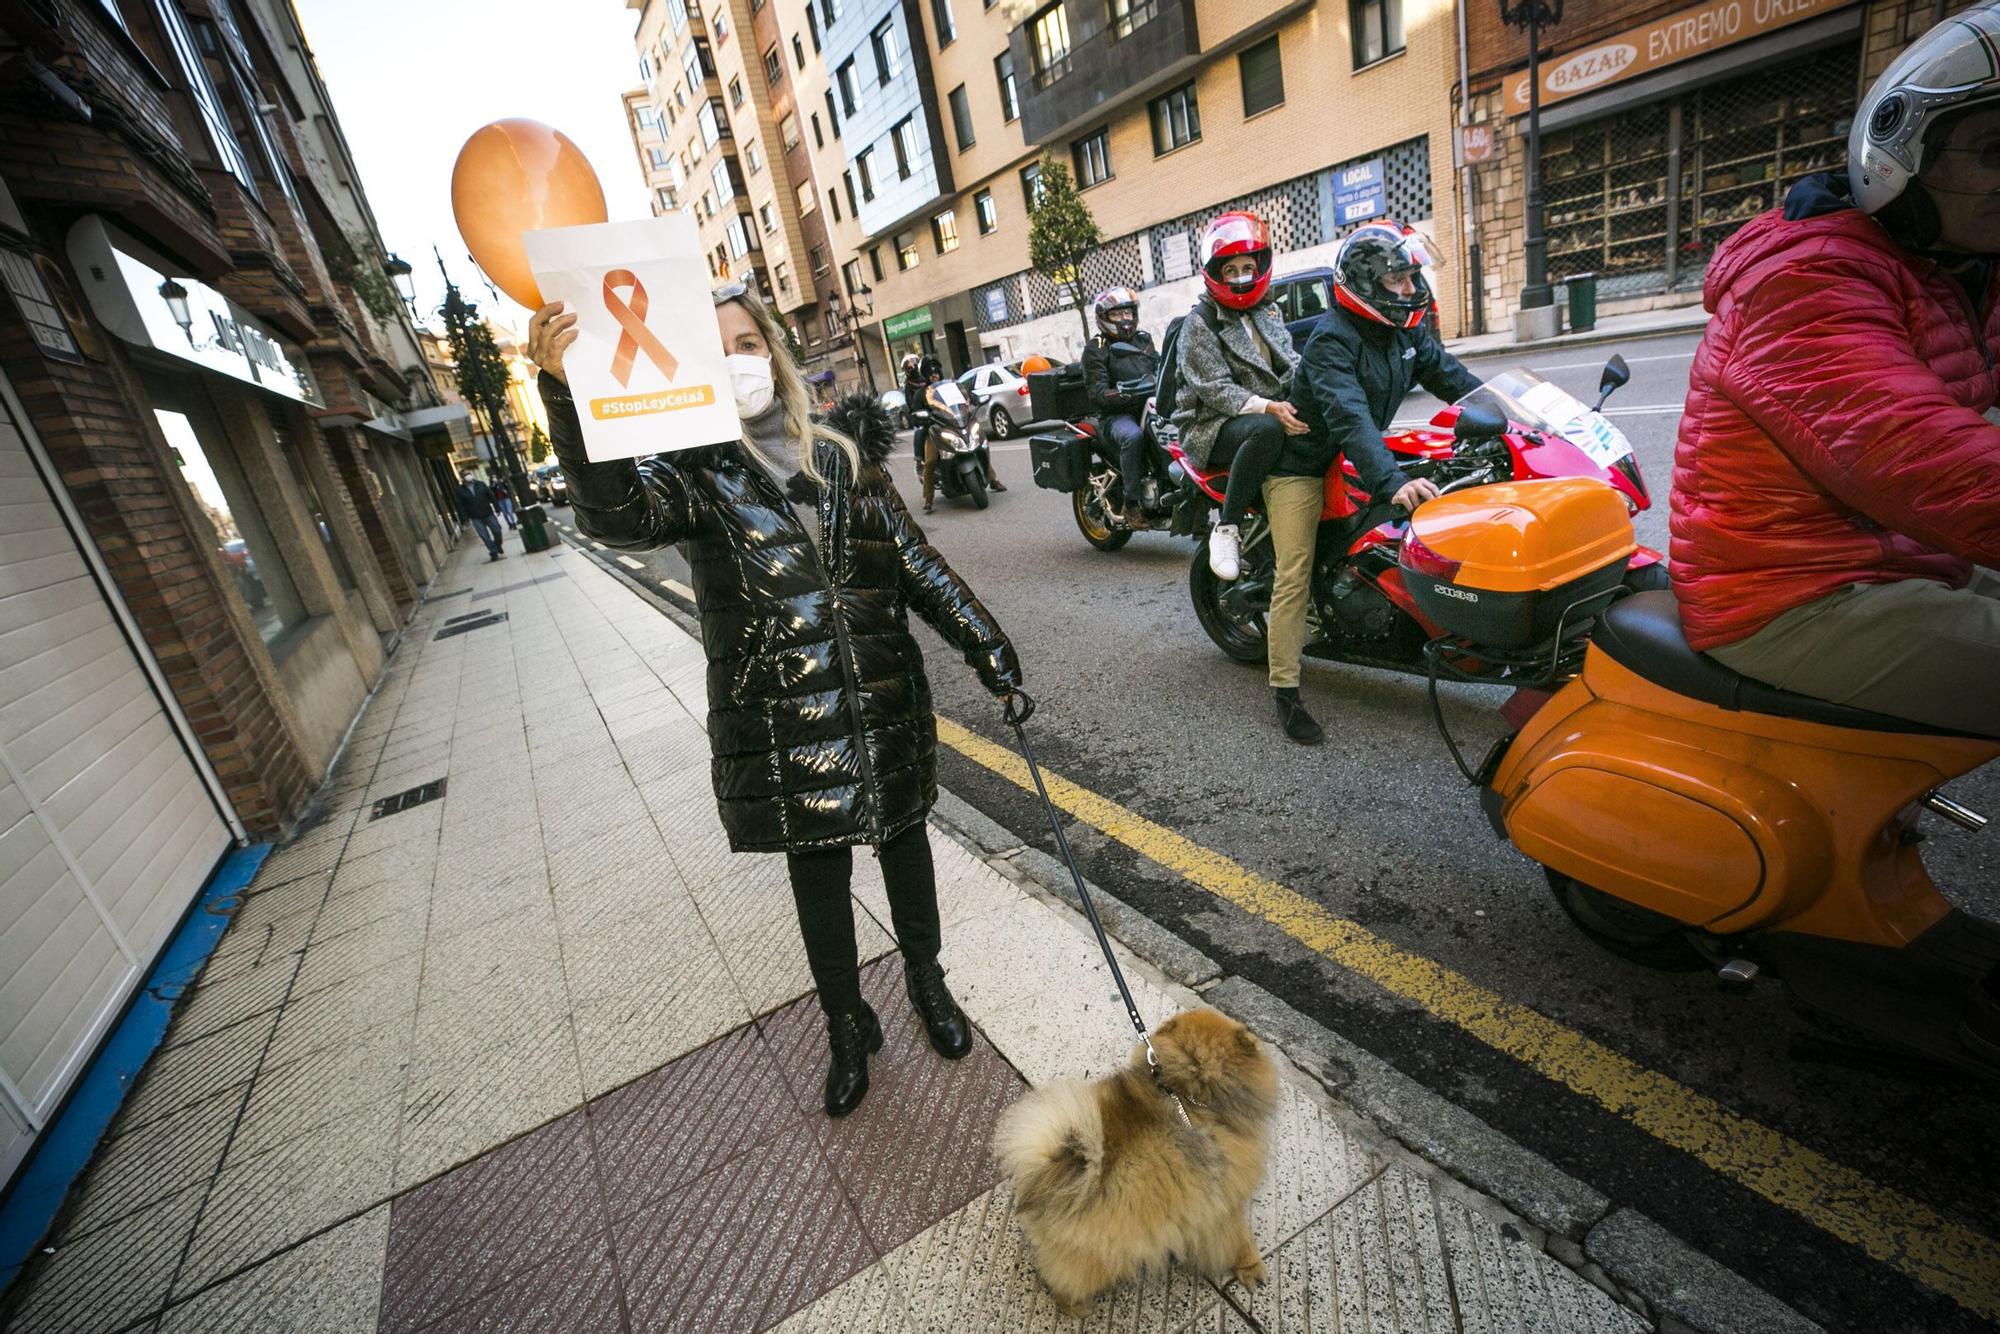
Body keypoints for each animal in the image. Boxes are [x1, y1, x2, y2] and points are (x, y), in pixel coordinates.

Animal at [988, 1012, 1280, 1312]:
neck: (1188, 1094)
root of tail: (1049, 1177)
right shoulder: (1224, 1203)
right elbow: (1237, 1238)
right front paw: (1251, 1267)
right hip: (1101, 1256)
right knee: (1069, 1282)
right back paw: (1077, 1309)